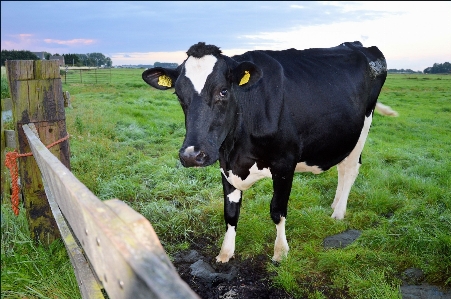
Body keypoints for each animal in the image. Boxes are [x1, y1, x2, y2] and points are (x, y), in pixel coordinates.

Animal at [143, 41, 398, 264]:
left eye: (223, 91)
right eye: (179, 95)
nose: (191, 155)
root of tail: (357, 45)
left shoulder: (285, 163)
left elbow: (277, 210)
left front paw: (280, 252)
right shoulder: (225, 165)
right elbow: (230, 213)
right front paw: (225, 253)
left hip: (362, 128)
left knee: (349, 169)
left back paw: (338, 213)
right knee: (341, 169)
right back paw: (335, 205)